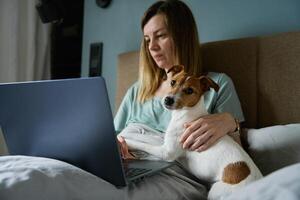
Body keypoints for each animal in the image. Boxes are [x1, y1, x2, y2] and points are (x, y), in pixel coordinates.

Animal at [120, 65, 262, 198]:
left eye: (189, 90)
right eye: (173, 82)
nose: (168, 99)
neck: (186, 113)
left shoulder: (166, 152)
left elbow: (143, 144)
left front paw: (125, 142)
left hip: (215, 191)